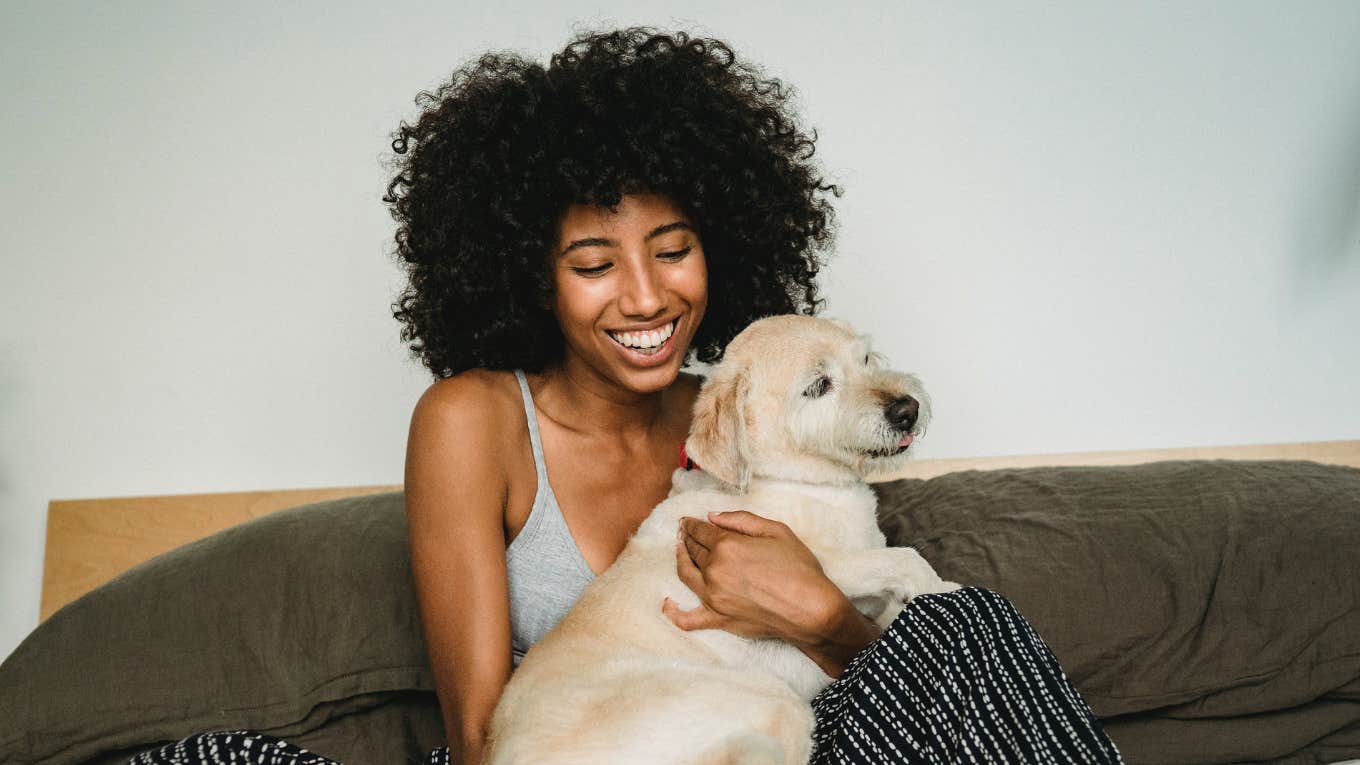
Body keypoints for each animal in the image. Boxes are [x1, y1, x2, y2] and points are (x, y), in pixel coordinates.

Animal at [484, 314, 962, 762]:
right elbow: (904, 559)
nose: (908, 409)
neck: (795, 480)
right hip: (772, 702)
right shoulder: (814, 567)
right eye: (819, 386)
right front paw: (940, 587)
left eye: (864, 359)